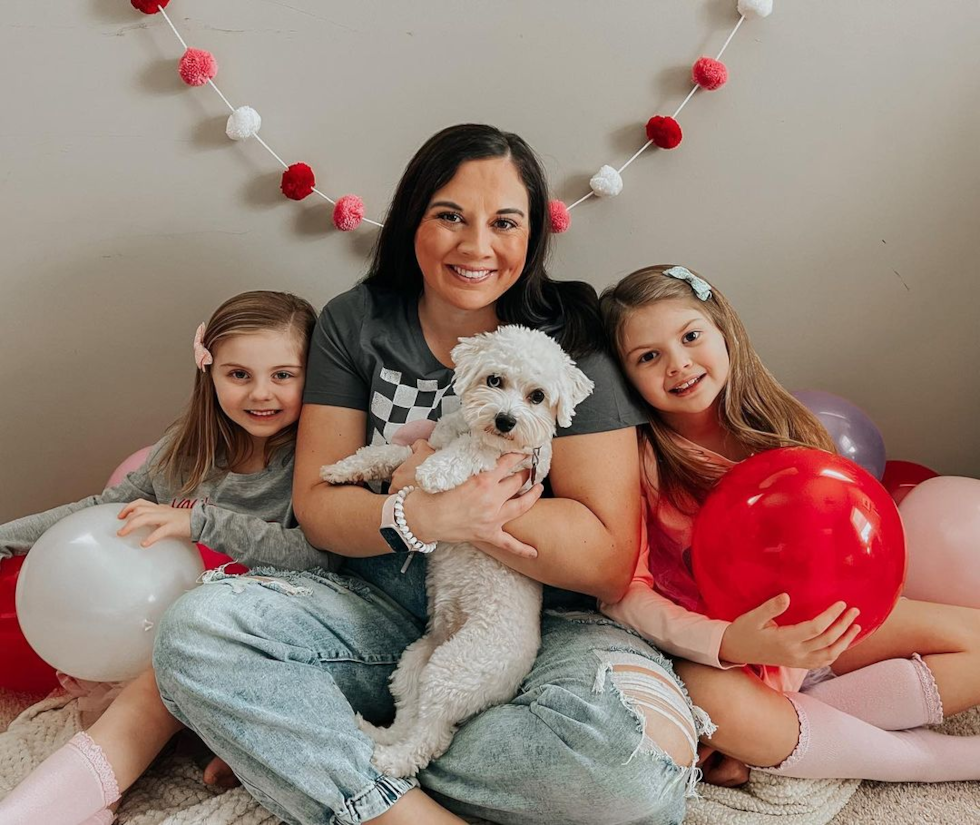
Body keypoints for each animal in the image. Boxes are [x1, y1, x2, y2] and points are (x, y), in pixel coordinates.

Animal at [320, 326, 588, 776]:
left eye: (538, 396)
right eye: (494, 380)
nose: (505, 420)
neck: (474, 430)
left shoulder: (515, 463)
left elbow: (474, 454)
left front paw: (437, 471)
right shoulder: (425, 444)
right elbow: (387, 454)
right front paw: (342, 469)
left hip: (456, 668)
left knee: (431, 738)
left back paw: (390, 760)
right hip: (417, 661)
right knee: (411, 717)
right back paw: (379, 734)